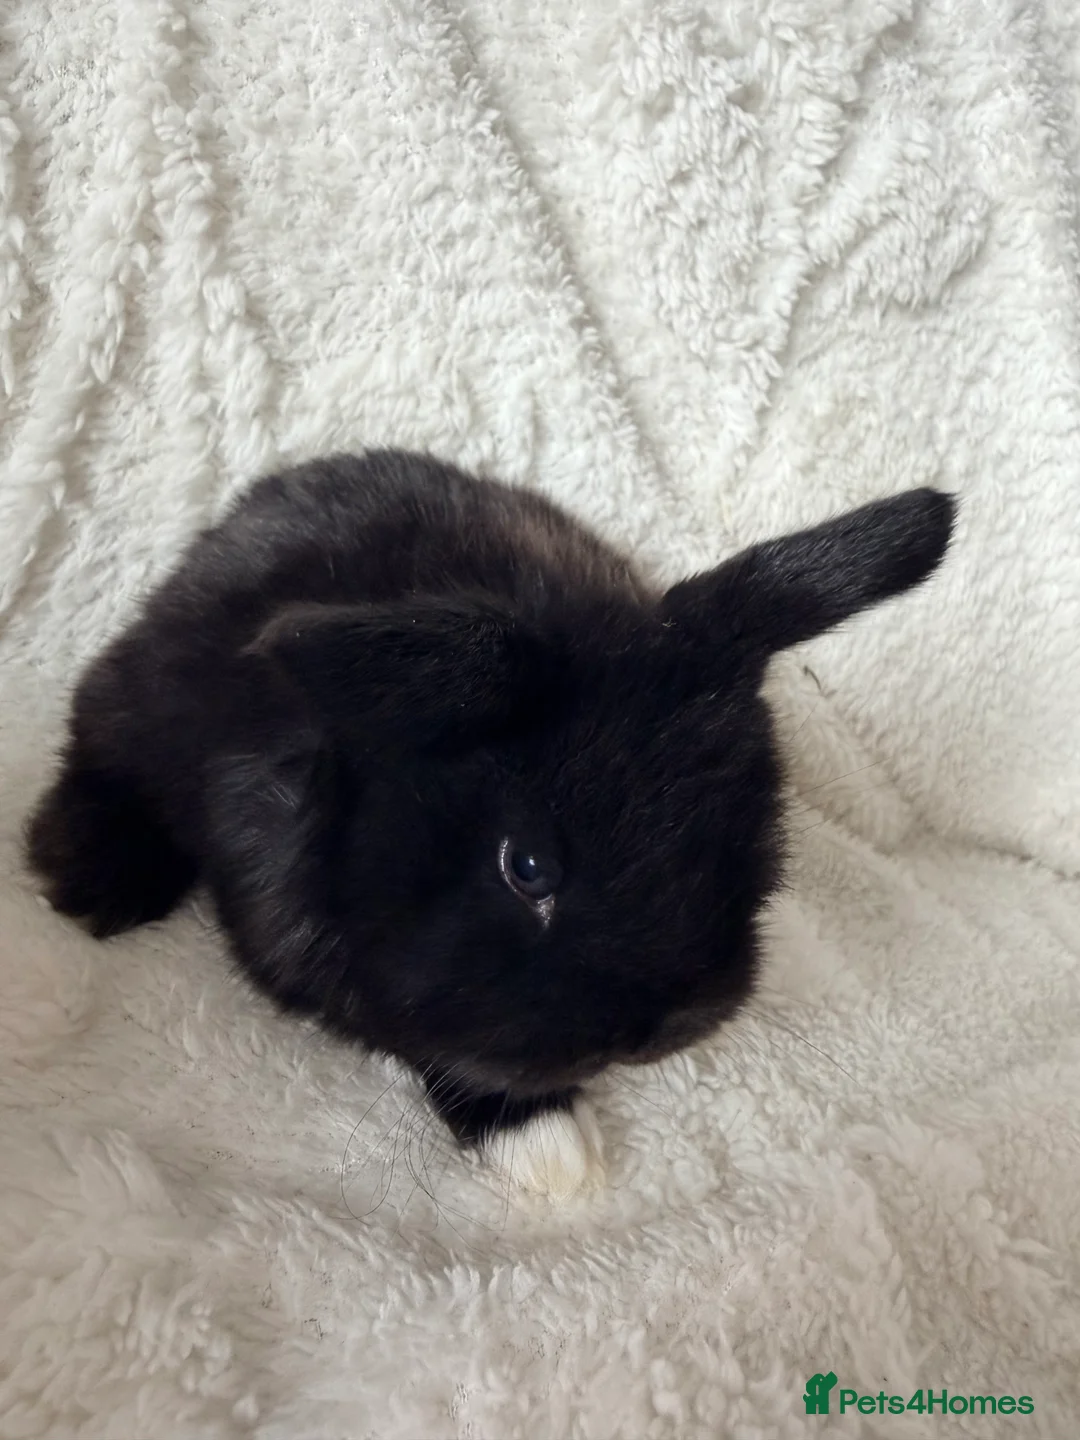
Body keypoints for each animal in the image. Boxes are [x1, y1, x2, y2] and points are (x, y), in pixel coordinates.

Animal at [26, 450, 955, 1198]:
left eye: (750, 838)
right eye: (528, 867)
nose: (664, 1028)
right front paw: (544, 1147)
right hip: (142, 695)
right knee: (99, 734)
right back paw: (87, 875)